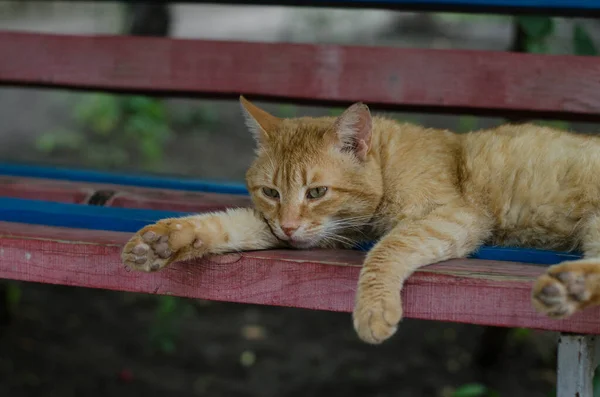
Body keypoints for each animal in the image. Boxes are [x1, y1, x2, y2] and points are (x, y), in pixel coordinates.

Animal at [120, 96, 600, 344]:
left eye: (317, 192)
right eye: (271, 193)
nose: (289, 226)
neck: (385, 166)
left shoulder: (453, 216)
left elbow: (388, 249)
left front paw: (373, 308)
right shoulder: (286, 229)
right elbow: (228, 223)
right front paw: (163, 240)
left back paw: (568, 286)